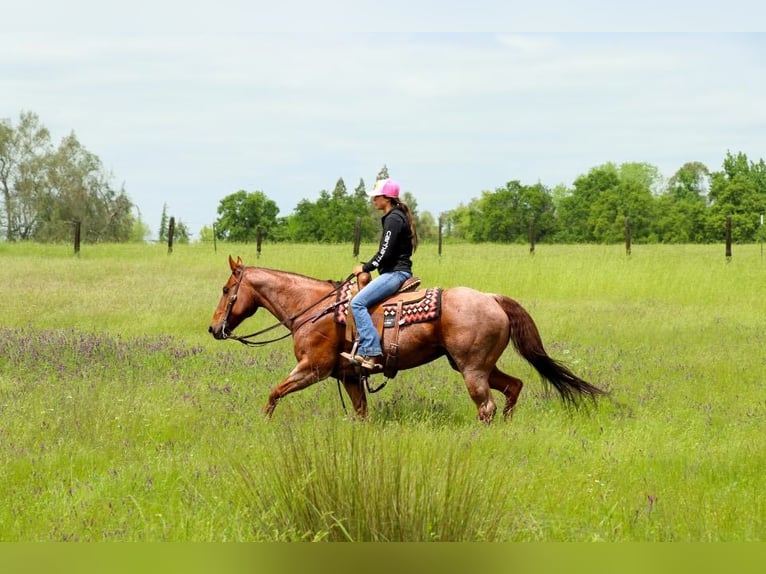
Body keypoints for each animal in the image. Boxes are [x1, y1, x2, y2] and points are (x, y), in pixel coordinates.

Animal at [208, 256, 608, 424]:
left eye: (227, 289)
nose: (214, 329)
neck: (314, 309)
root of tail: (492, 298)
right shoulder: (348, 376)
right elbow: (361, 413)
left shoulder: (313, 368)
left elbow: (274, 393)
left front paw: (263, 425)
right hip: (479, 365)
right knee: (514, 387)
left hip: (472, 370)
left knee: (487, 406)